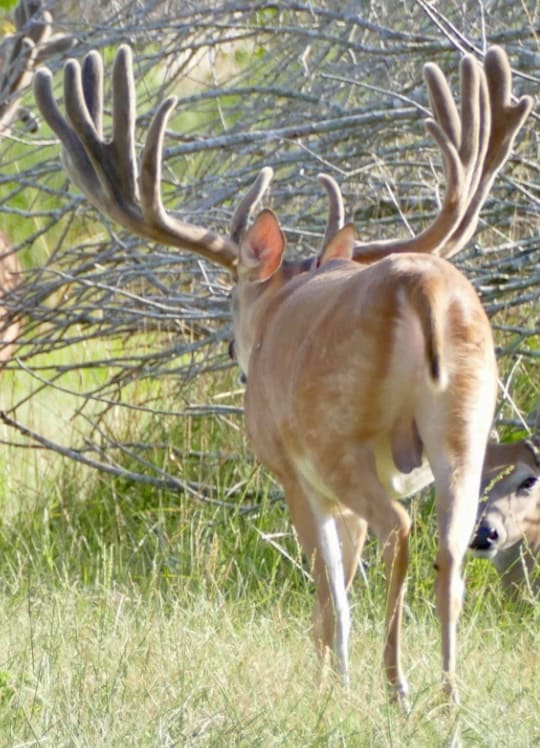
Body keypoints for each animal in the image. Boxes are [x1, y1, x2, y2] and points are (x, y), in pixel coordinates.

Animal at [33, 43, 532, 706]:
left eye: (231, 301)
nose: (233, 352)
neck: (280, 304)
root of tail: (422, 288)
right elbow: (343, 579)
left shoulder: (292, 470)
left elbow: (329, 593)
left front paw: (329, 685)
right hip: (466, 427)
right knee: (450, 553)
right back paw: (448, 698)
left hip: (336, 439)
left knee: (398, 529)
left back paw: (396, 685)